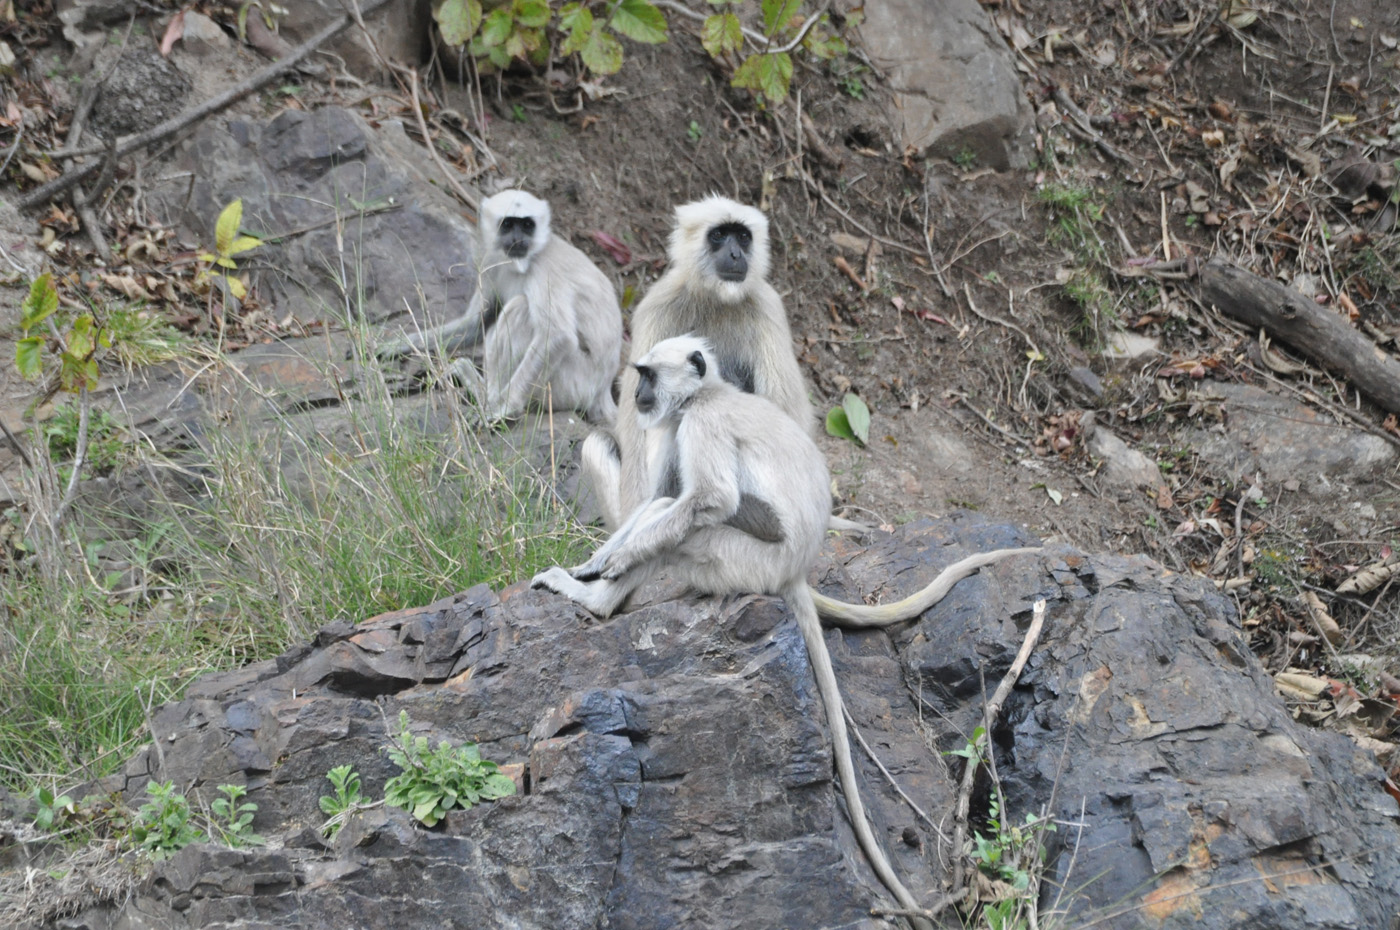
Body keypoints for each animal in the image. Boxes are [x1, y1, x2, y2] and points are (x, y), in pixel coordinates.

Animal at [380, 190, 627, 422]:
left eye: (527, 225)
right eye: (507, 224)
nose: (518, 238)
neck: (527, 259)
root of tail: (602, 392)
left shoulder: (546, 270)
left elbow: (558, 336)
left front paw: (506, 407)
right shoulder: (490, 260)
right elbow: (476, 324)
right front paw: (396, 345)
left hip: (571, 384)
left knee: (521, 309)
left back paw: (488, 399)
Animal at [532, 336, 1041, 924]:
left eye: (647, 376)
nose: (634, 396)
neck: (708, 393)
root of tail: (795, 570)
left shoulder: (700, 422)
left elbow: (710, 501)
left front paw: (607, 569)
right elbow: (663, 499)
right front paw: (594, 562)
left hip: (740, 560)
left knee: (693, 521)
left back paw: (597, 603)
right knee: (665, 504)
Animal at [579, 196, 812, 529]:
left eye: (743, 236)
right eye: (719, 235)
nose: (735, 254)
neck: (717, 299)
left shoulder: (767, 306)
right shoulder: (660, 303)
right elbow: (636, 426)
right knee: (598, 442)